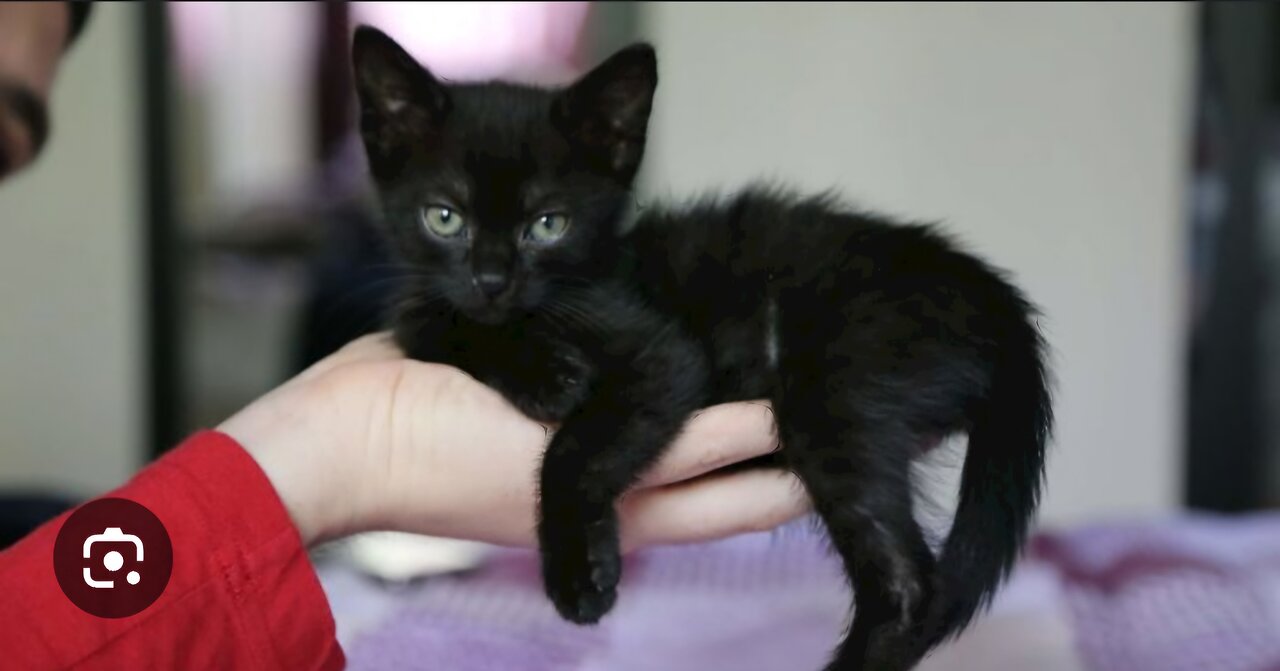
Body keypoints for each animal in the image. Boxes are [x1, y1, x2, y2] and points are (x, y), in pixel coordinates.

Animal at [350, 26, 1049, 671]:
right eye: (444, 218)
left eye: (548, 225)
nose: (492, 280)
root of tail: (986, 290)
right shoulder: (425, 314)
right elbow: (437, 325)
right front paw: (546, 373)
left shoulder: (662, 357)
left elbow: (575, 450)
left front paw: (580, 573)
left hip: (841, 385)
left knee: (907, 589)